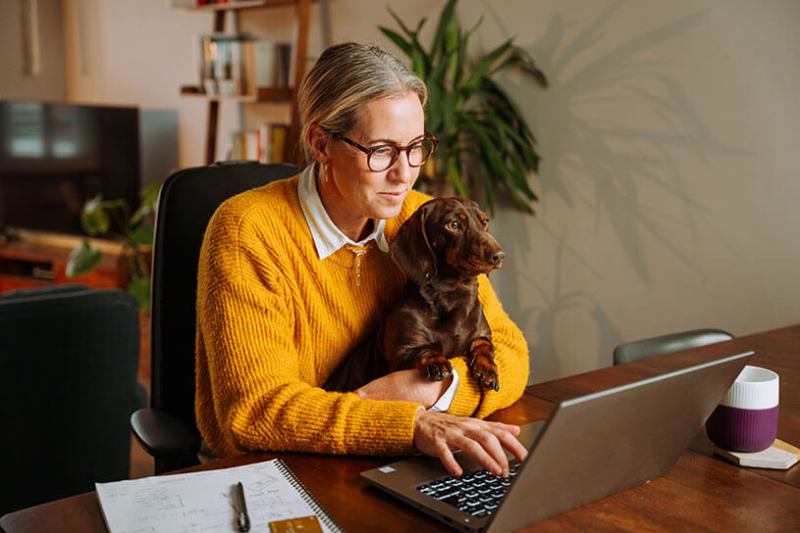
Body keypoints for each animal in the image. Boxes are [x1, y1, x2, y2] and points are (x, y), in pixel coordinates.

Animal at [322, 195, 504, 390]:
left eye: (485, 222)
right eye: (454, 224)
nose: (499, 255)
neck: (453, 295)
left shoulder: (482, 334)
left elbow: (484, 345)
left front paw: (487, 369)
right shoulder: (402, 353)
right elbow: (422, 350)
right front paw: (435, 361)